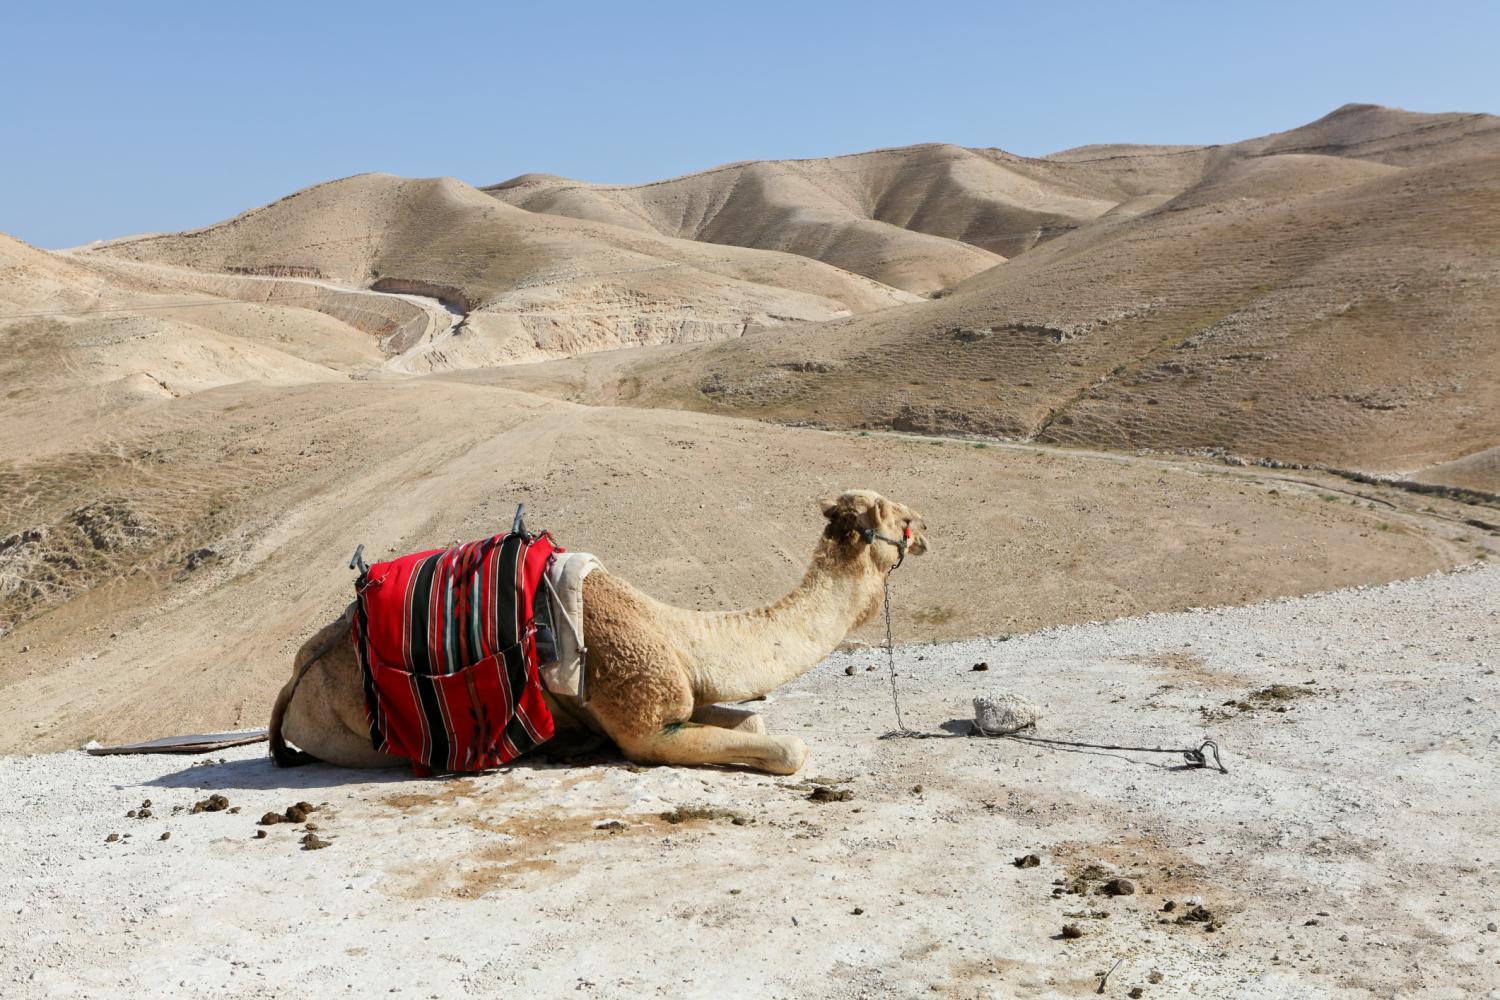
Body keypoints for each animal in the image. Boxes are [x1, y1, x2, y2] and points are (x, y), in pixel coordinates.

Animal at [270, 491, 924, 773]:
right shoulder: (647, 728)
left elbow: (754, 721)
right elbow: (788, 749)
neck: (680, 633)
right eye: (900, 517)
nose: (929, 526)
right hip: (351, 735)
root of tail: (294, 677)